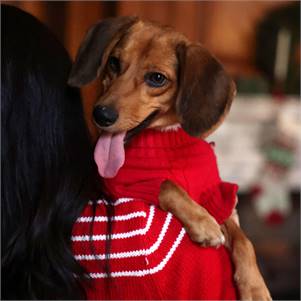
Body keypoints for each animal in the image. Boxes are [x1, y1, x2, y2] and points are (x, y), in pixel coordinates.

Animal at [69, 16, 270, 300]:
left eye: (157, 78)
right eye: (114, 63)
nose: (101, 115)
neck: (168, 137)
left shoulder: (219, 198)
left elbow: (244, 240)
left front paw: (255, 287)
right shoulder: (121, 186)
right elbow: (166, 184)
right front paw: (203, 223)